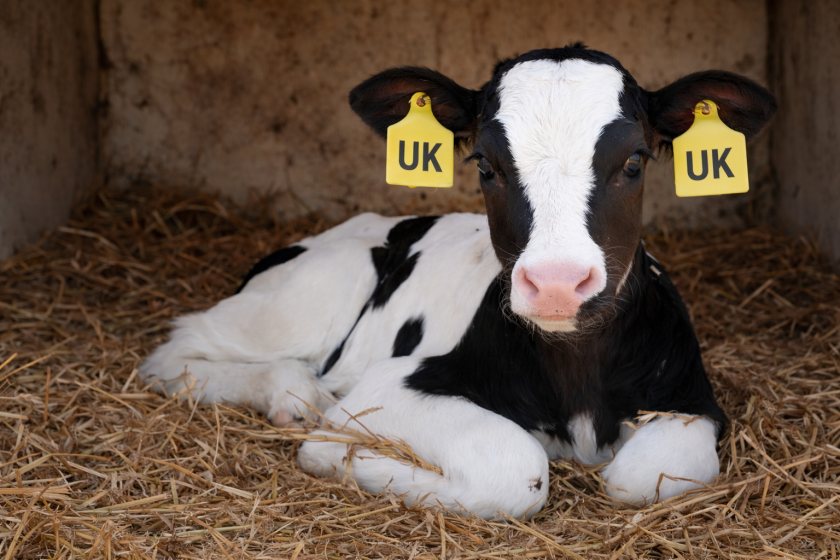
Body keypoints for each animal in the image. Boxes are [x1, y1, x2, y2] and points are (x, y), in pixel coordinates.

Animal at [140, 44, 775, 520]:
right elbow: (514, 467)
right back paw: (292, 395)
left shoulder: (692, 400)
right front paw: (335, 452)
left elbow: (643, 475)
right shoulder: (389, 385)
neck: (577, 382)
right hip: (312, 291)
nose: (556, 283)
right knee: (176, 350)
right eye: (485, 165)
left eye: (635, 161)